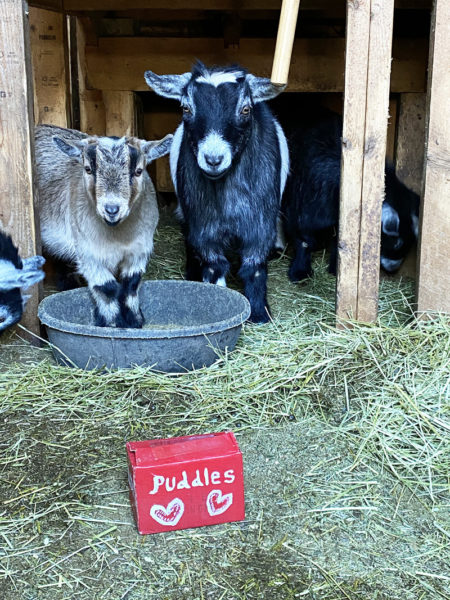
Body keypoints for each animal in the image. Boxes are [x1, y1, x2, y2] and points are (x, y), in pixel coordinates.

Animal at [34, 123, 172, 326]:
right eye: (88, 169)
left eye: (138, 171)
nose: (112, 209)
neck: (117, 236)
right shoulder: (88, 253)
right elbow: (107, 288)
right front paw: (112, 324)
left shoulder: (139, 250)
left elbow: (131, 284)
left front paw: (135, 321)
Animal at [146, 62, 290, 324]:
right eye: (186, 107)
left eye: (246, 109)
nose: (213, 159)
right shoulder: (204, 226)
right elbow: (214, 266)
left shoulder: (259, 224)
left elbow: (254, 268)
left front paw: (260, 314)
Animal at [284, 109, 420, 282]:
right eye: (396, 243)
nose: (393, 269)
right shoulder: (303, 207)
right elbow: (305, 239)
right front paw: (300, 272)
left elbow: (341, 241)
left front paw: (338, 269)